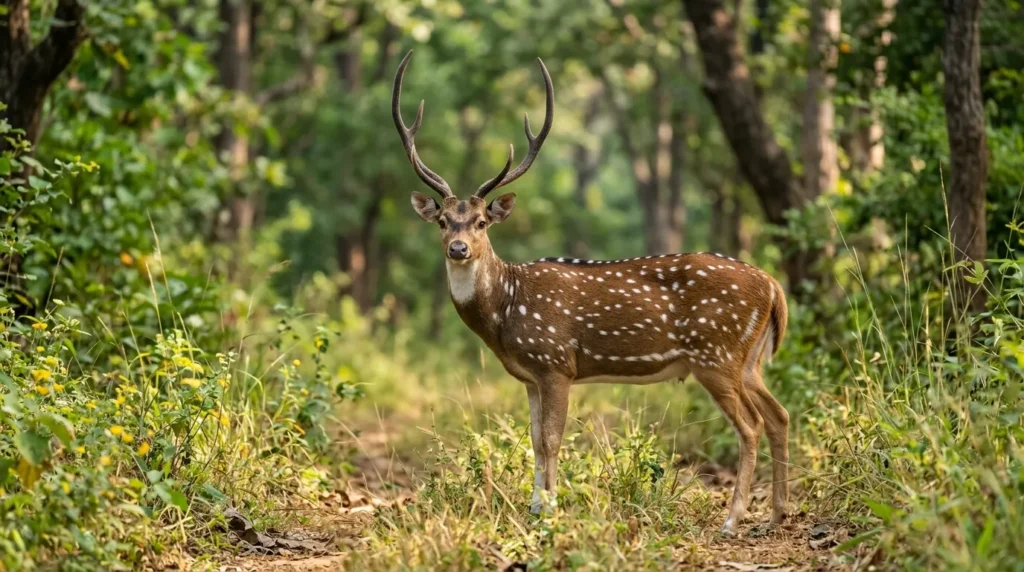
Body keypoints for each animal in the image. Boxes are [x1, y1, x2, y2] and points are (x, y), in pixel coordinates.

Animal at [392, 50, 790, 536]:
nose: (459, 248)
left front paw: (550, 511)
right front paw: (533, 508)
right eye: (443, 221)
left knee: (751, 425)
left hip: (716, 354)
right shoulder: (530, 375)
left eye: (482, 222)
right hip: (748, 360)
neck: (505, 311)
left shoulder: (555, 362)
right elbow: (534, 438)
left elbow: (551, 439)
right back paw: (777, 514)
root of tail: (772, 286)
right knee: (779, 415)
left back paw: (732, 520)